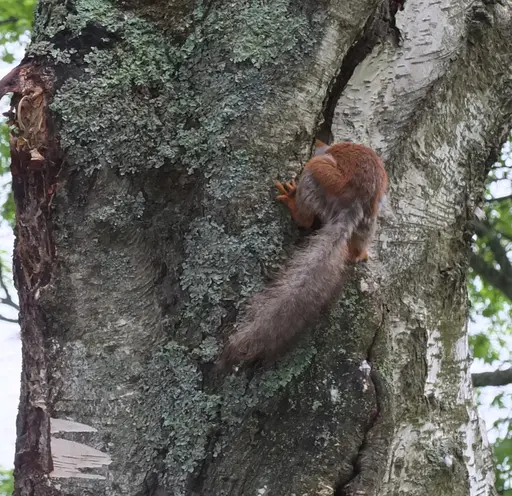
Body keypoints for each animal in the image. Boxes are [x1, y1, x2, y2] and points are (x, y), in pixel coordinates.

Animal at [217, 140, 388, 368]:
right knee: (357, 245)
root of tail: (353, 205)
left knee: (306, 218)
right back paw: (359, 254)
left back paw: (292, 201)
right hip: (368, 224)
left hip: (314, 177)